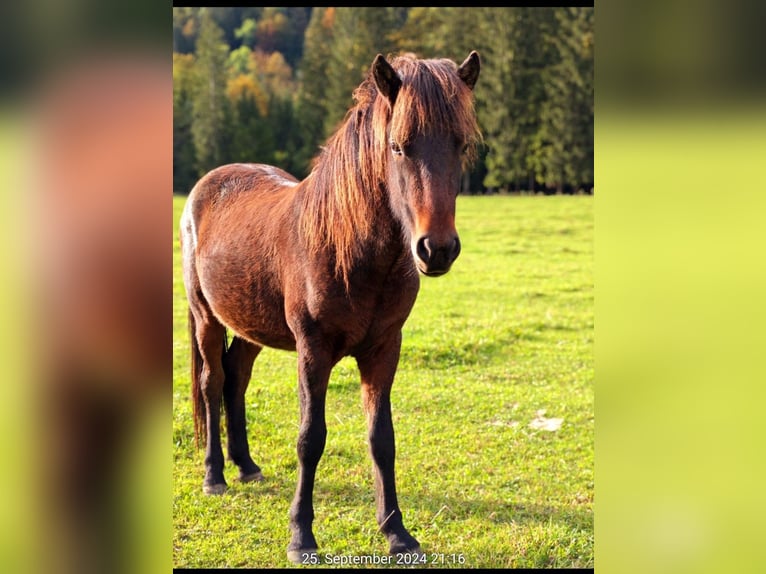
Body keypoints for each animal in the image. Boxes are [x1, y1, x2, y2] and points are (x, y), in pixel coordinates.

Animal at [181, 49, 484, 564]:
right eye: (398, 147)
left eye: (461, 146)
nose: (437, 249)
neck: (351, 251)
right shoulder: (313, 351)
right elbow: (310, 438)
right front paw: (301, 536)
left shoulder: (384, 350)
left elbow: (382, 439)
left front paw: (397, 533)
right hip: (206, 318)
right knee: (212, 383)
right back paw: (215, 476)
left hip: (249, 326)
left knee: (236, 378)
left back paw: (246, 466)